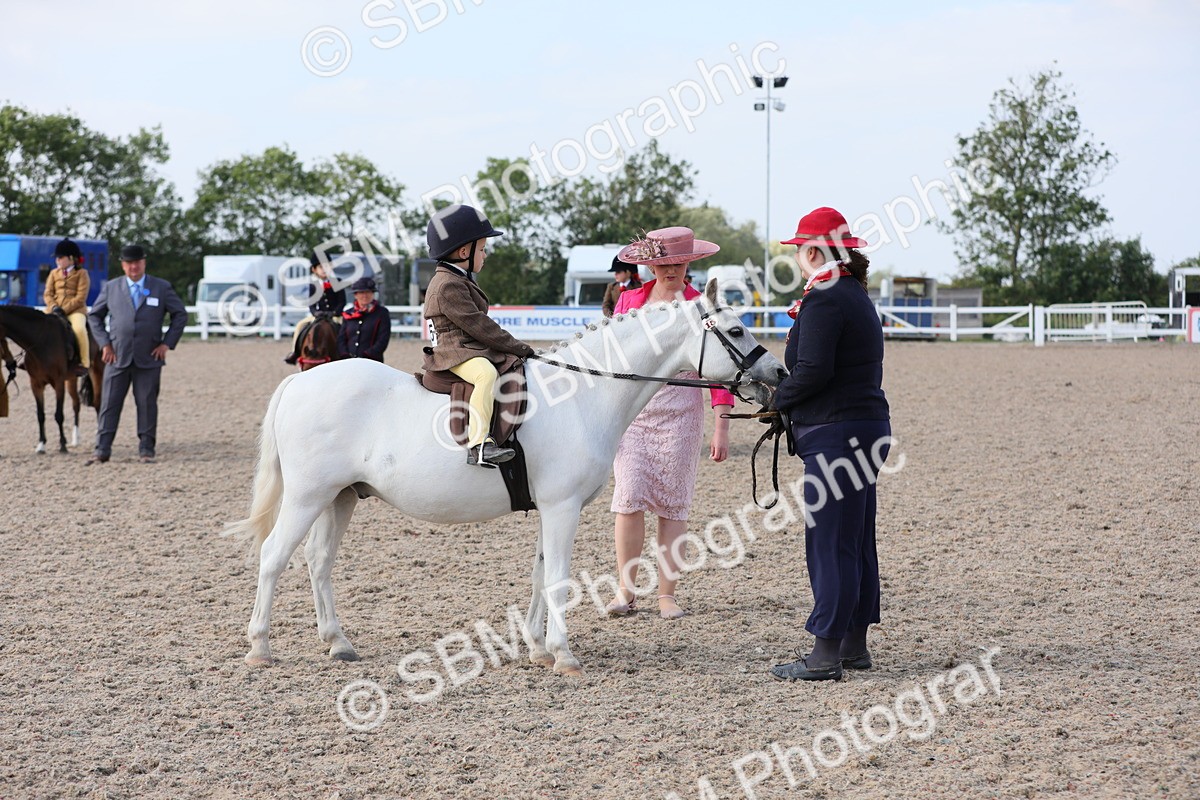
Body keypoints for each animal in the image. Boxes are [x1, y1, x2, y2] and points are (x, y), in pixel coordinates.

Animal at [0, 305, 104, 453]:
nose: (10, 364)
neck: (41, 342)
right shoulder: (36, 384)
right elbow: (40, 415)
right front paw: (41, 445)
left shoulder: (58, 382)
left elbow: (59, 415)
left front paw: (62, 445)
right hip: (71, 379)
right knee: (76, 404)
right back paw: (75, 440)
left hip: (97, 371)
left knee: (97, 403)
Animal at [224, 280, 787, 675]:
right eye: (737, 331)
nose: (779, 375)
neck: (583, 393)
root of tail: (300, 383)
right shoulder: (562, 508)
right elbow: (558, 576)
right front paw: (563, 655)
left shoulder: (553, 509)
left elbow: (539, 574)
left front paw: (537, 649)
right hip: (307, 496)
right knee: (273, 557)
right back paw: (260, 647)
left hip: (340, 498)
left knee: (318, 562)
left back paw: (338, 643)